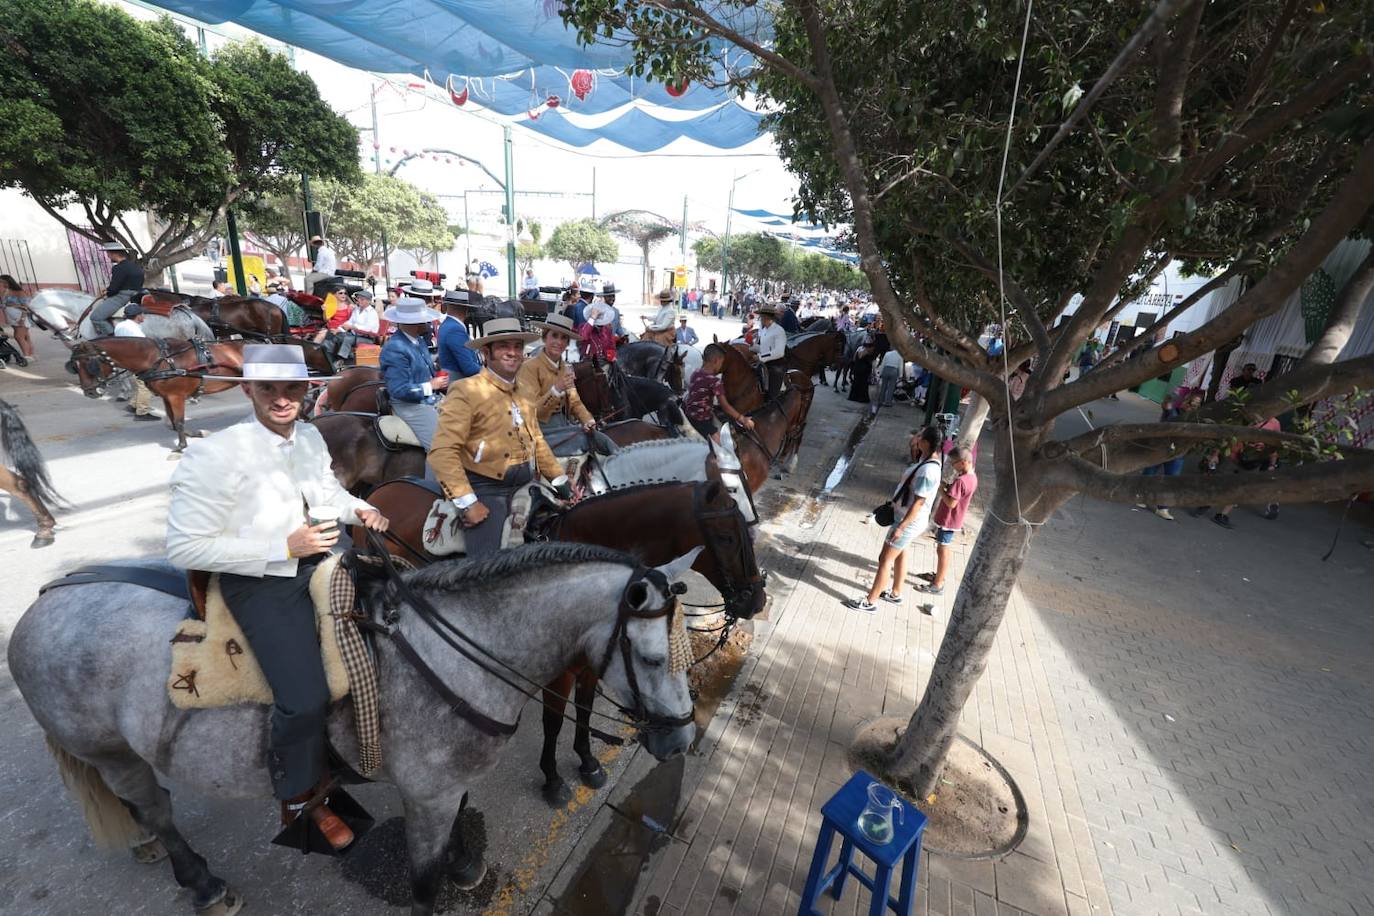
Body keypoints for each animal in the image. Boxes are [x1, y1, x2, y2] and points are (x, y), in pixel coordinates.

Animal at [8, 543, 697, 916]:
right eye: (653, 659)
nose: (682, 741)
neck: (455, 652)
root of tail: (43, 602)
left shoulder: (447, 786)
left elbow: (456, 834)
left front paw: (463, 863)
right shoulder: (426, 795)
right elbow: (422, 882)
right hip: (110, 750)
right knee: (154, 808)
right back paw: (200, 880)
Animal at [69, 339, 248, 453]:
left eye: (89, 363)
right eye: (74, 366)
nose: (89, 392)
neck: (159, 360)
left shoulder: (176, 396)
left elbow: (179, 421)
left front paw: (181, 446)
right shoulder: (166, 397)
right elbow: (173, 422)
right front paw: (193, 434)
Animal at [354, 477, 763, 807]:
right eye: (726, 537)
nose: (755, 600)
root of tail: (379, 490)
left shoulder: (593, 664)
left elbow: (584, 711)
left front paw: (588, 762)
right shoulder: (559, 674)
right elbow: (553, 722)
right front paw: (552, 780)